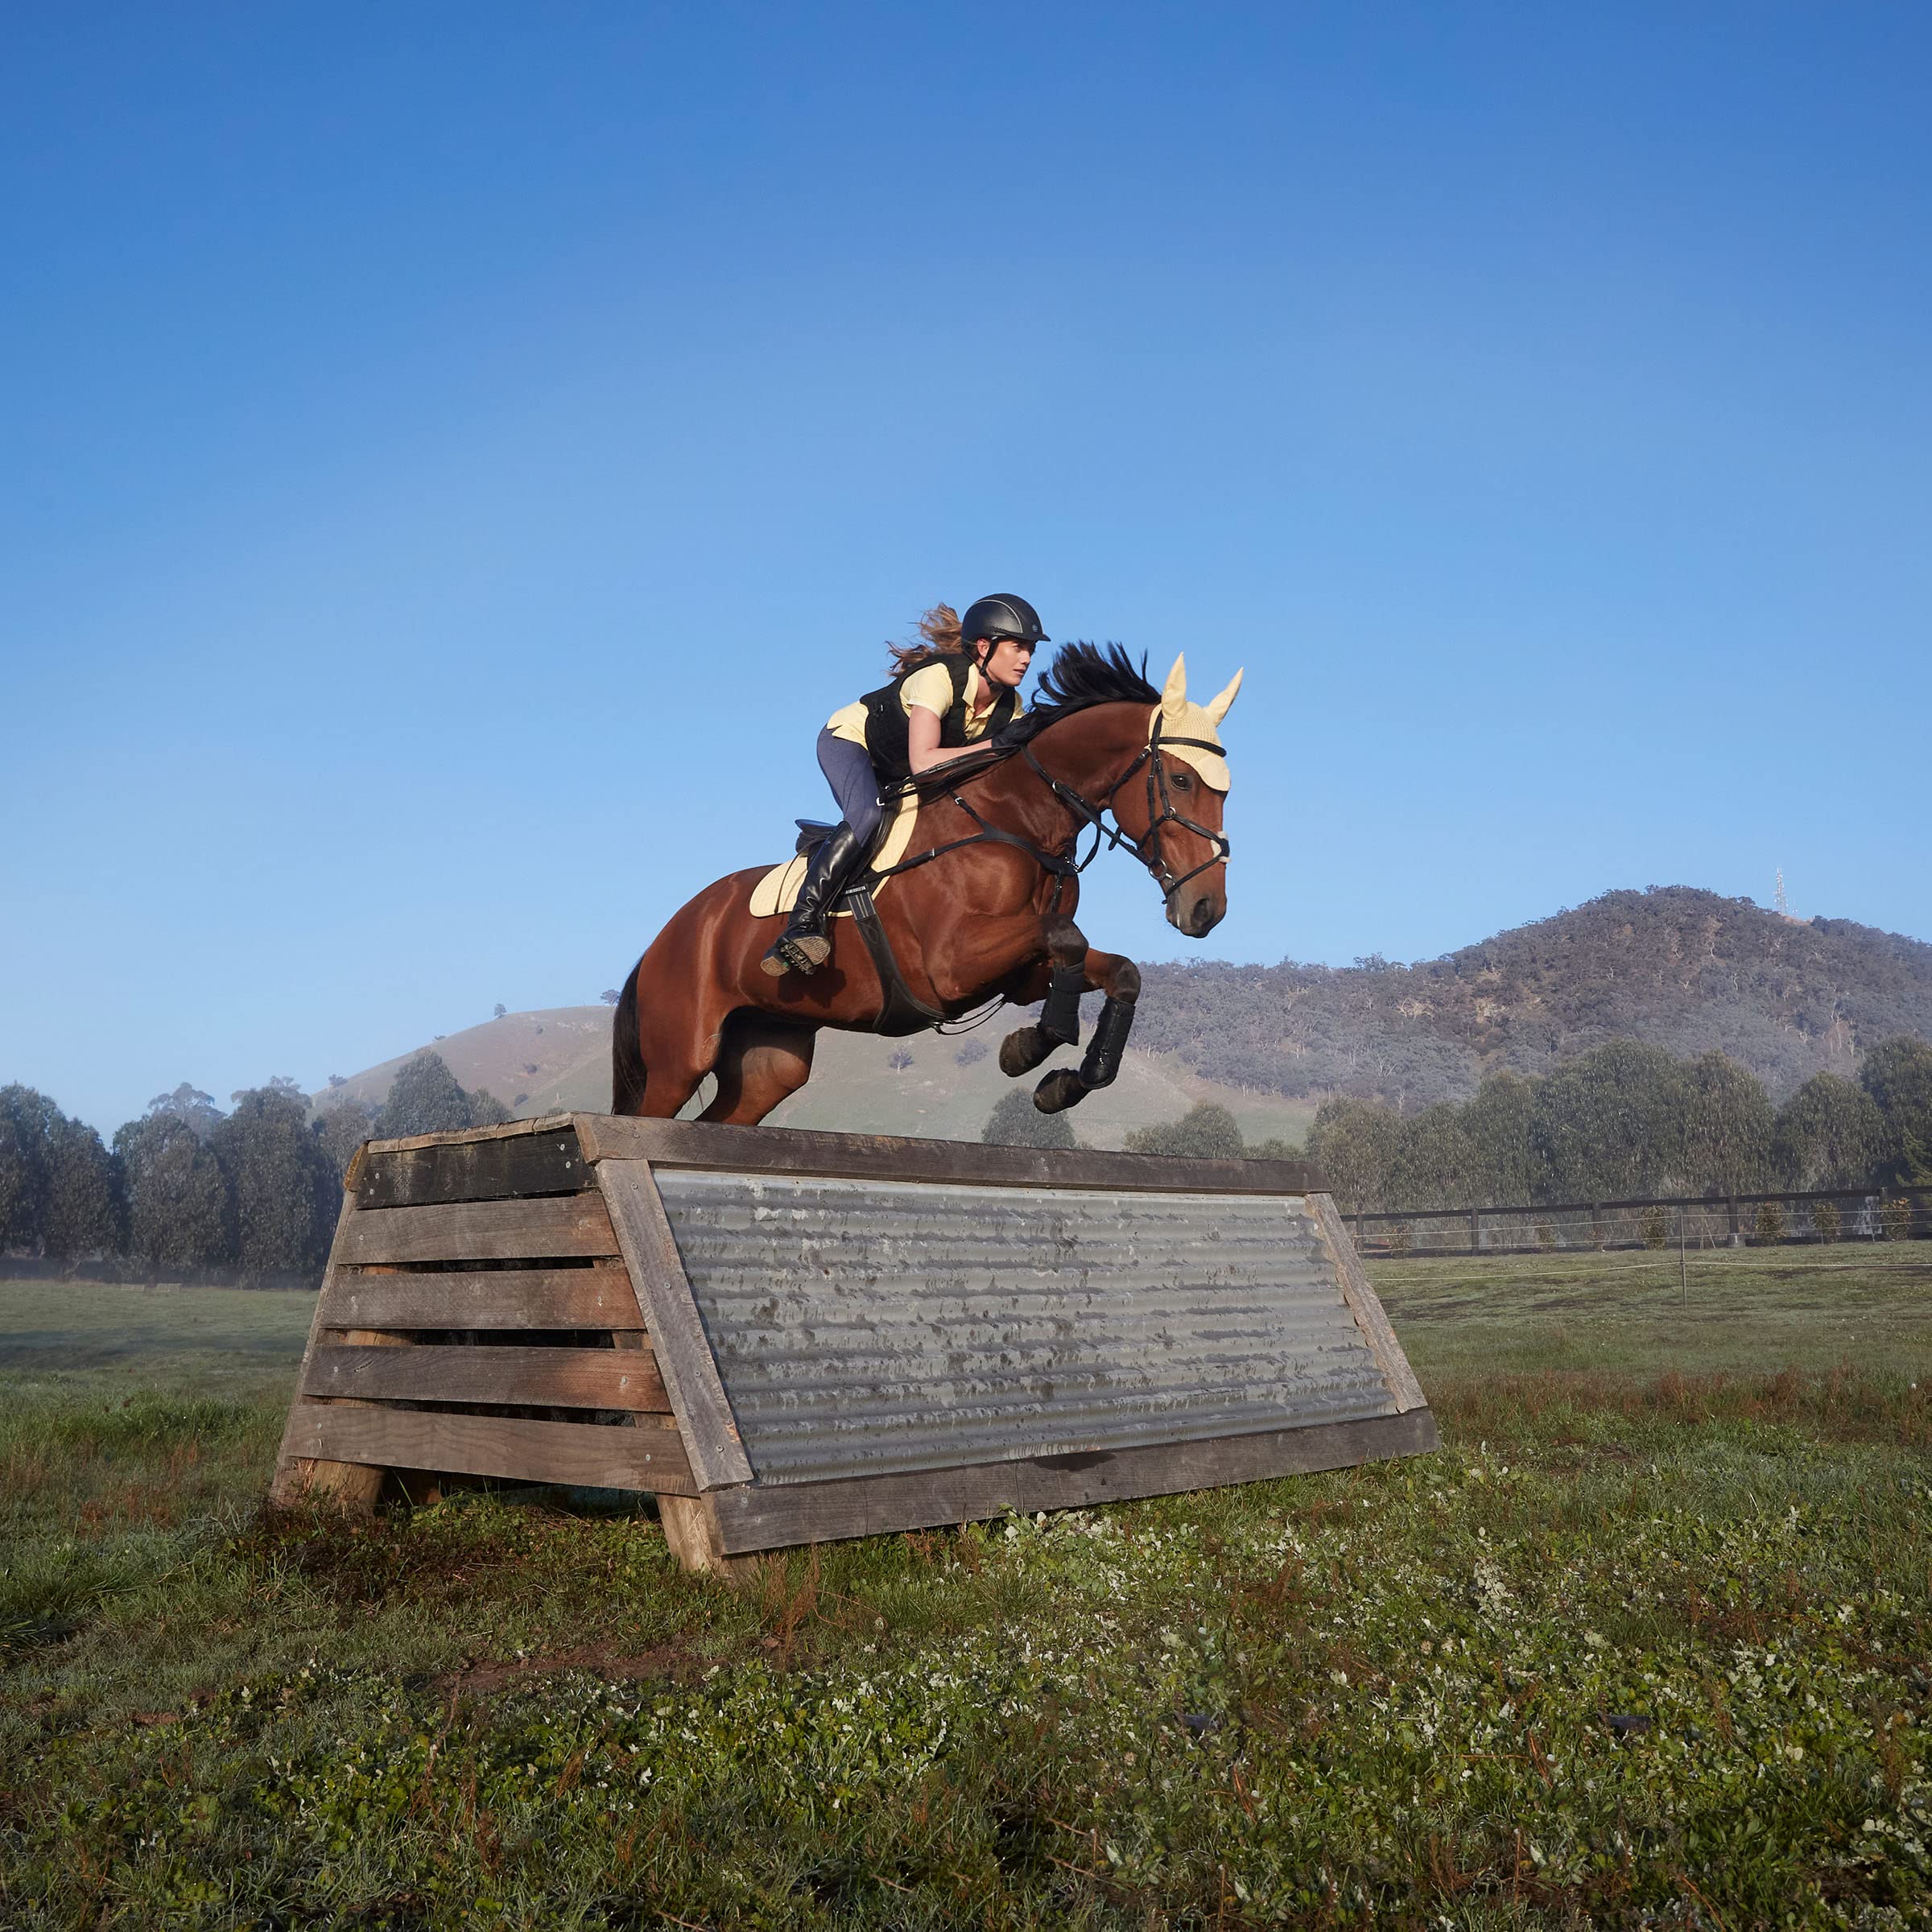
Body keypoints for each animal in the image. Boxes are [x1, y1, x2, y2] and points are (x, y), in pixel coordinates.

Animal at [610, 645, 1244, 1128]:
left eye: (1225, 792)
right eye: (1181, 781)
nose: (1206, 910)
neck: (1019, 818)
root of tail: (666, 937)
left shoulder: (1021, 972)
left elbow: (1116, 969)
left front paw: (1066, 1081)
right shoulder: (949, 968)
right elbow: (1067, 936)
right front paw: (1029, 1049)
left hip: (769, 1059)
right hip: (680, 1059)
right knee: (649, 1113)